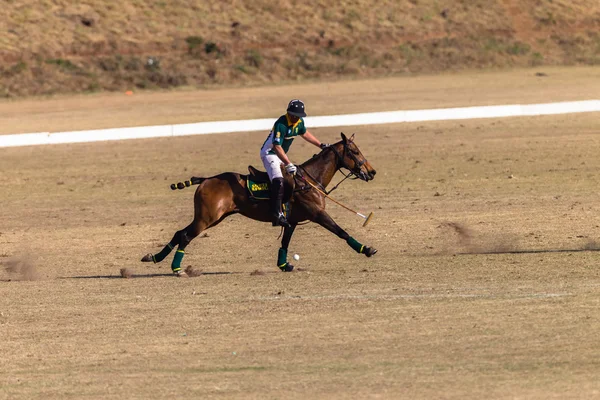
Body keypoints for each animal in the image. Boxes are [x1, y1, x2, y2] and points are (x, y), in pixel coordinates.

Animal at [142, 131, 378, 276]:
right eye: (354, 151)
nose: (372, 172)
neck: (310, 180)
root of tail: (206, 179)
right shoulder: (317, 214)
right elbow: (341, 232)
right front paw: (366, 249)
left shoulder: (292, 220)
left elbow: (285, 243)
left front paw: (284, 265)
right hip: (207, 218)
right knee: (185, 236)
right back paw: (176, 269)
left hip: (211, 218)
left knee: (179, 233)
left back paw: (154, 257)